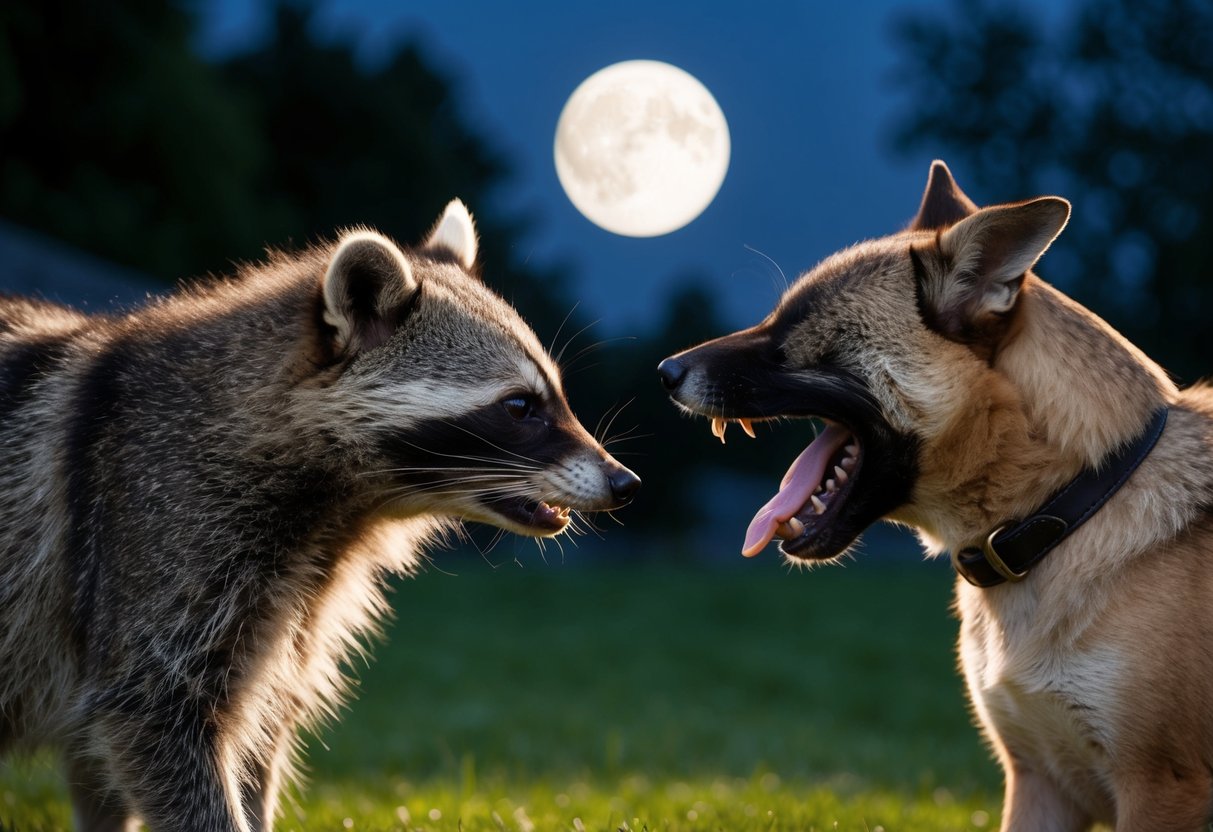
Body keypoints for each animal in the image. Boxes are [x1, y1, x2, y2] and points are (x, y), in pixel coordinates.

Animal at [0, 200, 640, 831]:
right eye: (520, 406)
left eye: (555, 396)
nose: (625, 483)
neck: (343, 511)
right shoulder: (154, 533)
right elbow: (150, 710)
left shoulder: (295, 606)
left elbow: (256, 733)